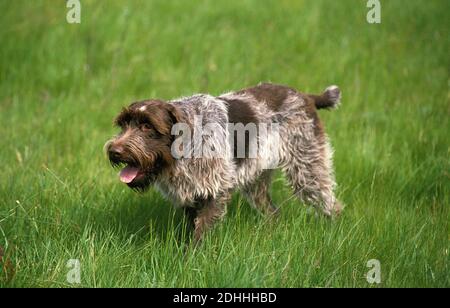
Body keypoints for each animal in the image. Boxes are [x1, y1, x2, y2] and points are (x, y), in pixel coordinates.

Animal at [105, 83, 342, 242]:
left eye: (147, 126)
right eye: (123, 124)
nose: (114, 152)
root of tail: (304, 95)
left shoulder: (215, 190)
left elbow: (199, 234)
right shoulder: (191, 196)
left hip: (307, 168)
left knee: (331, 204)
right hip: (256, 179)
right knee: (273, 212)